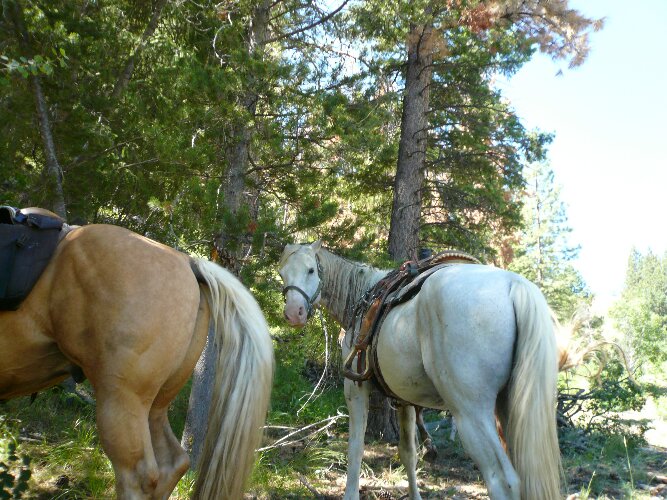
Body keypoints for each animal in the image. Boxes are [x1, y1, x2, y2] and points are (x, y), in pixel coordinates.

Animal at [279, 241, 562, 500]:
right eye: (282, 273)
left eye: (311, 270)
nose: (294, 313)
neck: (363, 298)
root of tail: (515, 286)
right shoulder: (404, 400)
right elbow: (408, 453)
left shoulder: (355, 389)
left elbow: (356, 448)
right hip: (510, 409)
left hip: (472, 413)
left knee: (503, 481)